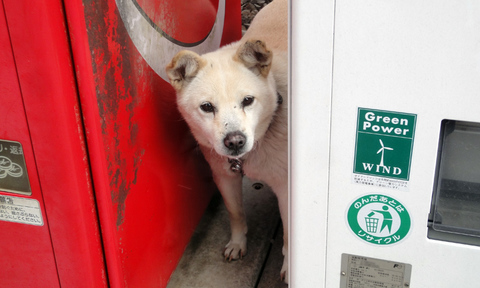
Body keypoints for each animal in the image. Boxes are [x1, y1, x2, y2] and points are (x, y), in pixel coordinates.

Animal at [167, 0, 288, 282]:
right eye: (207, 107)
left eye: (248, 100)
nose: (235, 142)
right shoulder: (224, 175)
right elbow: (236, 212)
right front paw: (237, 243)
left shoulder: (288, 188)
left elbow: (291, 234)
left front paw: (290, 265)